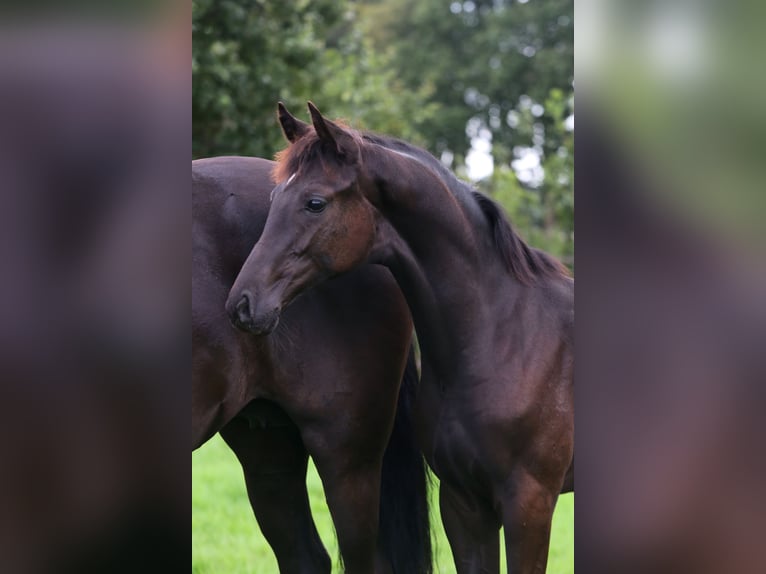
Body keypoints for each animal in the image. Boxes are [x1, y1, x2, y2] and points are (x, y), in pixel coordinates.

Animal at [228, 104, 576, 574]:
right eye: (272, 199)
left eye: (315, 203)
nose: (243, 304)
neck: (506, 337)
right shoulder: (464, 502)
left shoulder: (530, 503)